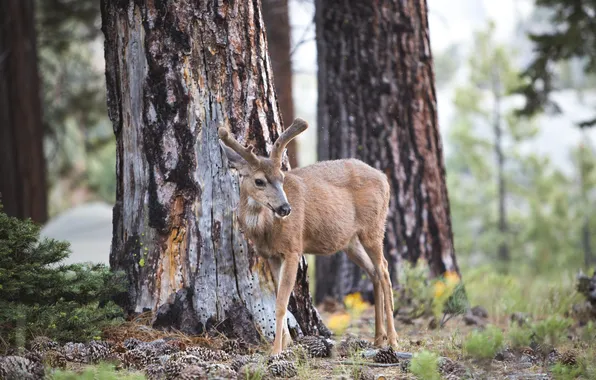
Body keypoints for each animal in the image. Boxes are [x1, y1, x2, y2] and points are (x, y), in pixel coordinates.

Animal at [217, 117, 398, 354]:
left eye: (281, 177)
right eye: (259, 181)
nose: (285, 208)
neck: (266, 230)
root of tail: (384, 178)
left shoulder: (293, 248)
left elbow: (281, 303)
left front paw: (277, 350)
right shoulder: (271, 255)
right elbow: (280, 299)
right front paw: (286, 343)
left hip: (373, 227)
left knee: (384, 270)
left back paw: (393, 339)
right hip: (351, 241)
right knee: (374, 272)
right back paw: (378, 338)